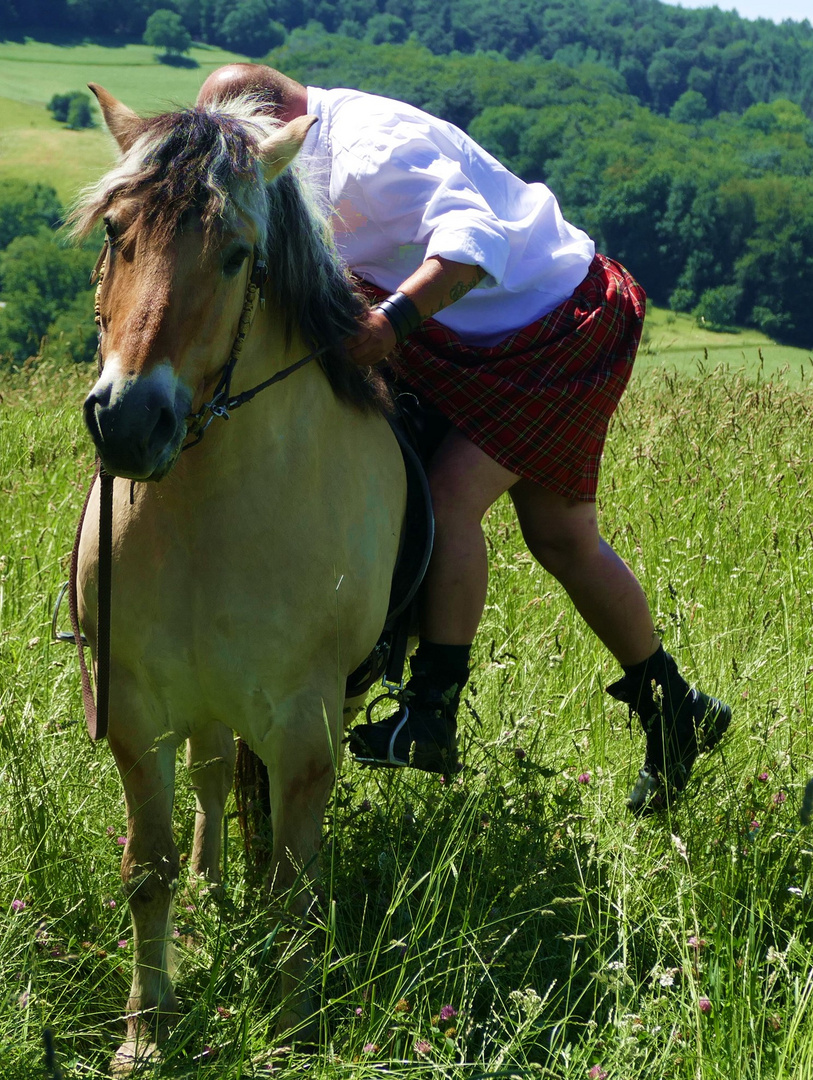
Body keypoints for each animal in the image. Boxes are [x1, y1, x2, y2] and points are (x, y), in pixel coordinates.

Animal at [71, 86, 405, 1071]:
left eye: (235, 255)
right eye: (116, 232)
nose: (128, 421)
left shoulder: (305, 724)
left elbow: (295, 882)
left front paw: (291, 1032)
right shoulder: (137, 707)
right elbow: (146, 871)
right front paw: (146, 1034)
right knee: (216, 776)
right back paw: (218, 891)